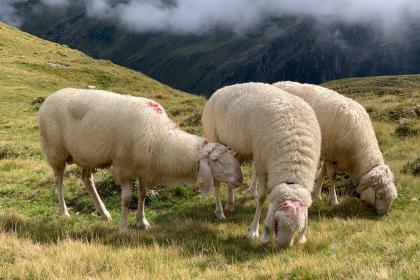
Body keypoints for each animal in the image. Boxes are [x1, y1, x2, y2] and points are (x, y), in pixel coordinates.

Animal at [39, 88, 244, 231]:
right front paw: (122, 227)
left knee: (86, 179)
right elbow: (127, 199)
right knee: (59, 181)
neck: (160, 136)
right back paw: (64, 212)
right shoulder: (123, 168)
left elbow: (143, 195)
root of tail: (50, 98)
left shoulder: (145, 169)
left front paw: (142, 221)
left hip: (87, 155)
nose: (240, 178)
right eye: (216, 160)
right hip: (55, 151)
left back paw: (104, 213)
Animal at [202, 82, 320, 247]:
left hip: (243, 148)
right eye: (278, 221)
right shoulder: (262, 164)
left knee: (234, 167)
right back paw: (219, 212)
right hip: (215, 138)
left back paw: (230, 204)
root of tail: (220, 90)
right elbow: (262, 197)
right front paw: (253, 231)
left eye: (299, 228)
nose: (283, 247)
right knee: (217, 182)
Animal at [272, 81, 398, 214]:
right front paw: (333, 200)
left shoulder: (327, 154)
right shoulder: (331, 154)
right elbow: (332, 176)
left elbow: (323, 172)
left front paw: (316, 194)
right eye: (380, 196)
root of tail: (276, 84)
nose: (384, 214)